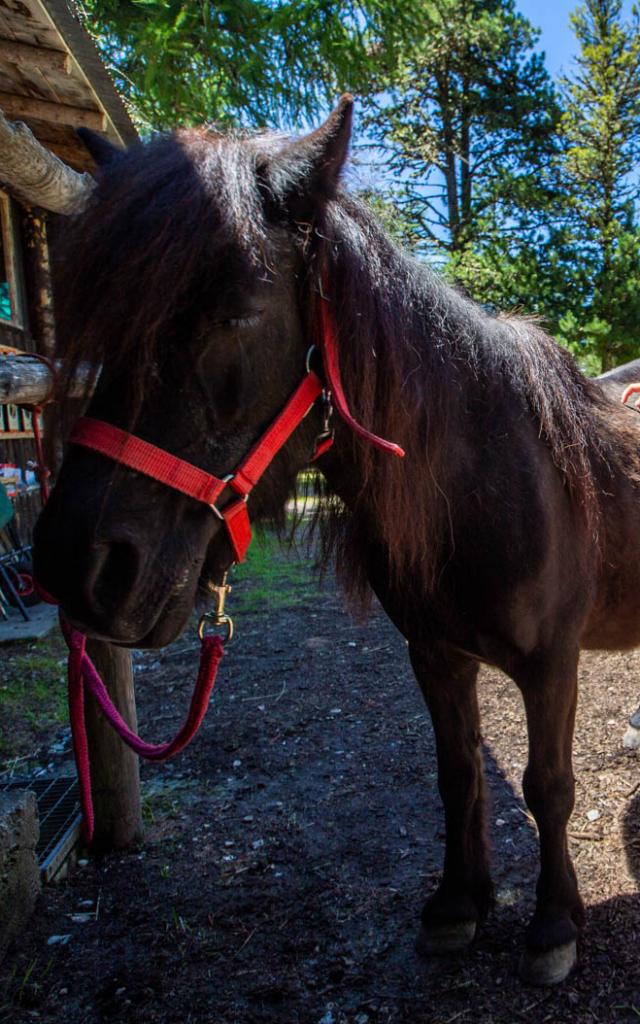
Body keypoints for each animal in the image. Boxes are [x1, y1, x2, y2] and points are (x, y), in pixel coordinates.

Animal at [32, 97, 638, 983]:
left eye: (239, 310)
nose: (75, 566)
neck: (490, 476)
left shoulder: (552, 663)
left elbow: (546, 786)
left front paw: (554, 924)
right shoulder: (435, 655)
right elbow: (460, 775)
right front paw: (459, 904)